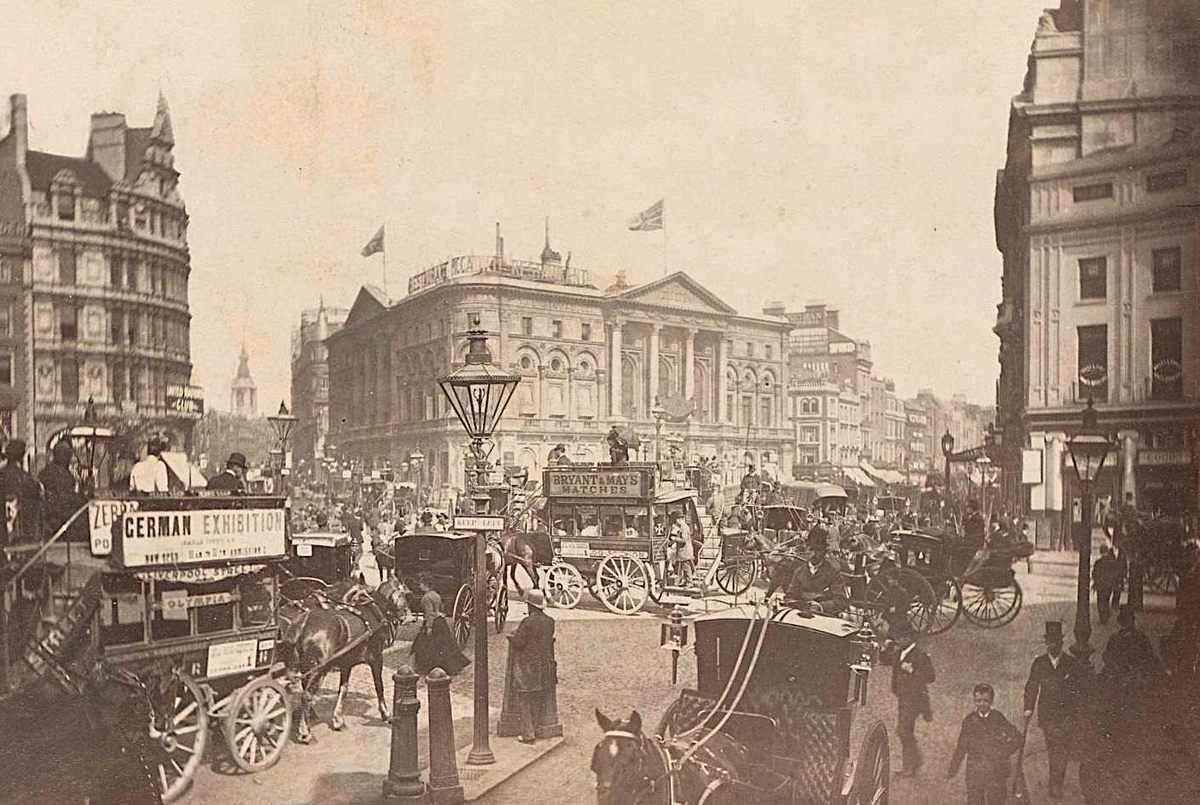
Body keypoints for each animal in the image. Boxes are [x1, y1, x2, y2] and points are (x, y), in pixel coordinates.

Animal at [277, 580, 412, 743]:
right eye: (405, 593)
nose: (411, 617)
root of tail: (302, 624)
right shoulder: (376, 658)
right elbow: (379, 686)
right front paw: (386, 714)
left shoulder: (346, 664)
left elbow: (343, 689)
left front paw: (338, 720)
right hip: (318, 669)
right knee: (306, 696)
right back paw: (305, 732)